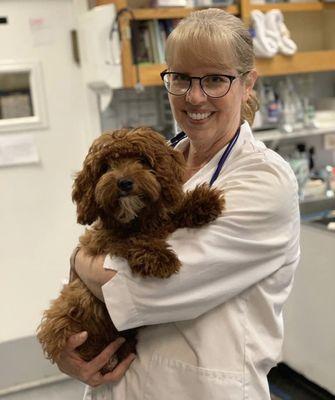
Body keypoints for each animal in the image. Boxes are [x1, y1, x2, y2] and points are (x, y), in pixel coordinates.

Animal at [36, 126, 226, 374]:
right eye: (105, 167)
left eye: (142, 160)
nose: (124, 183)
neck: (136, 219)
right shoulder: (103, 239)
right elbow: (128, 240)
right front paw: (159, 257)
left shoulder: (159, 218)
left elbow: (172, 211)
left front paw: (202, 202)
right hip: (69, 312)